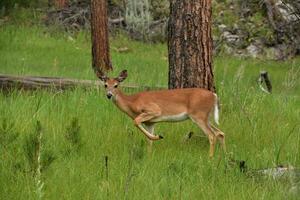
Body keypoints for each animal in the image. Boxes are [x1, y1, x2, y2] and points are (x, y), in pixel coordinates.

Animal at [97, 69, 226, 157]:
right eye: (105, 85)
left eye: (116, 85)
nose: (109, 95)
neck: (132, 102)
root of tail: (214, 96)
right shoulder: (150, 123)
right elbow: (148, 141)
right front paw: (149, 155)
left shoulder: (154, 110)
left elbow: (136, 121)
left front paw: (158, 136)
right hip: (206, 117)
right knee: (220, 133)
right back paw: (223, 156)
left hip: (198, 115)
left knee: (211, 135)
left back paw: (210, 157)